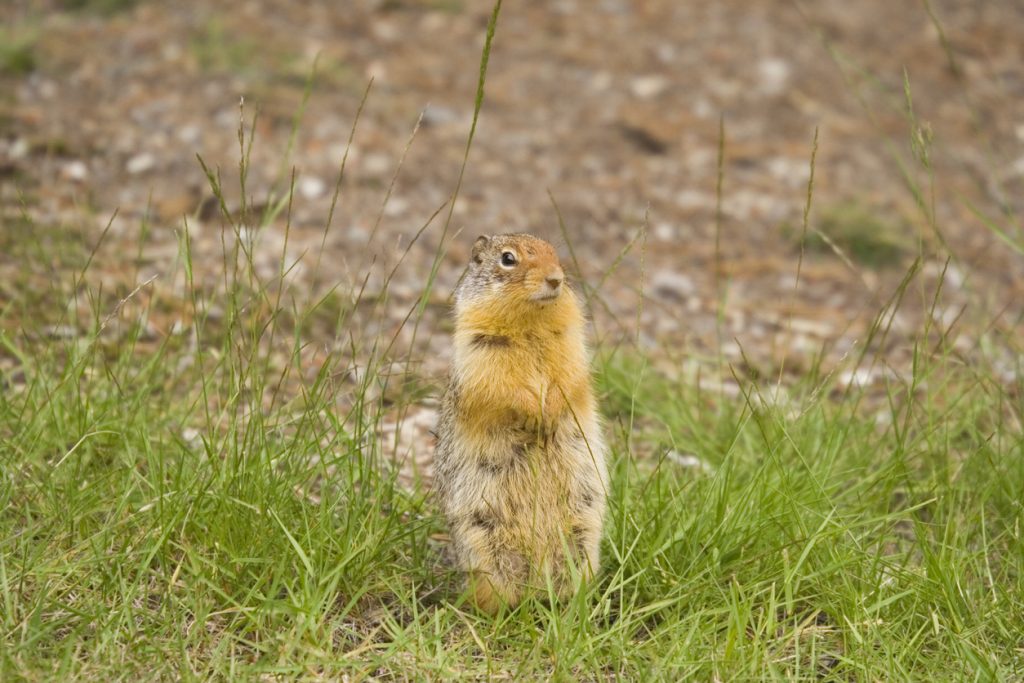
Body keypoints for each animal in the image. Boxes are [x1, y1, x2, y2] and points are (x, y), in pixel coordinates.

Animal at [434, 233, 606, 614]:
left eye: (556, 254)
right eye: (508, 259)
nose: (556, 279)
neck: (530, 325)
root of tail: (535, 587)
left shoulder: (571, 344)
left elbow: (569, 379)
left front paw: (550, 411)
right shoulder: (480, 349)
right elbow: (501, 388)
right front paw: (534, 412)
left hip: (582, 536)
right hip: (482, 543)